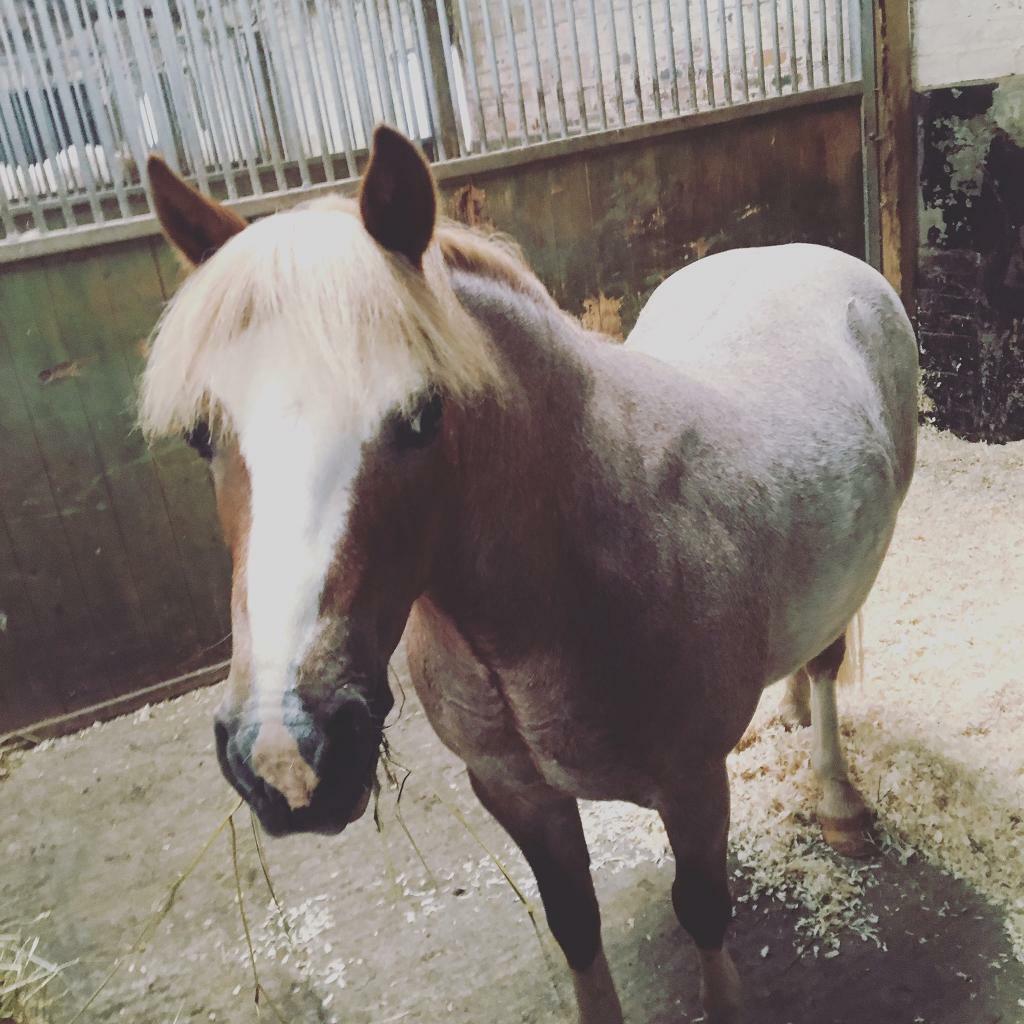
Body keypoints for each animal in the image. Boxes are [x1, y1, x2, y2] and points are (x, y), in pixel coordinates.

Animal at [141, 125, 918, 1023]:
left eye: (422, 417)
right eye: (201, 434)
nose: (286, 751)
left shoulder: (692, 787)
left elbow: (704, 913)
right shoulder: (515, 794)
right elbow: (574, 924)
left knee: (827, 666)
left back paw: (837, 799)